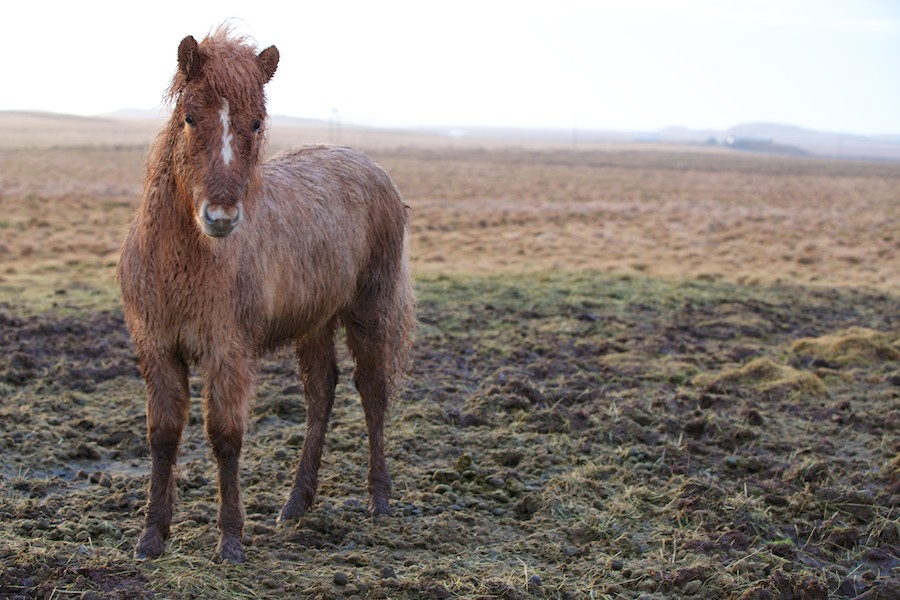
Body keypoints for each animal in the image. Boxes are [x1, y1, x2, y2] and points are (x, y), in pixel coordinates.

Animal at [116, 28, 414, 564]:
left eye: (256, 121)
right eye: (189, 116)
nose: (220, 218)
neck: (182, 260)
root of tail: (370, 165)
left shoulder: (228, 352)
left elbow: (225, 437)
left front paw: (230, 541)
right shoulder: (157, 350)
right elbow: (163, 436)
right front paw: (151, 536)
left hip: (368, 311)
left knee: (372, 392)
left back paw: (379, 500)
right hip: (316, 321)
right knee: (321, 393)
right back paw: (296, 504)